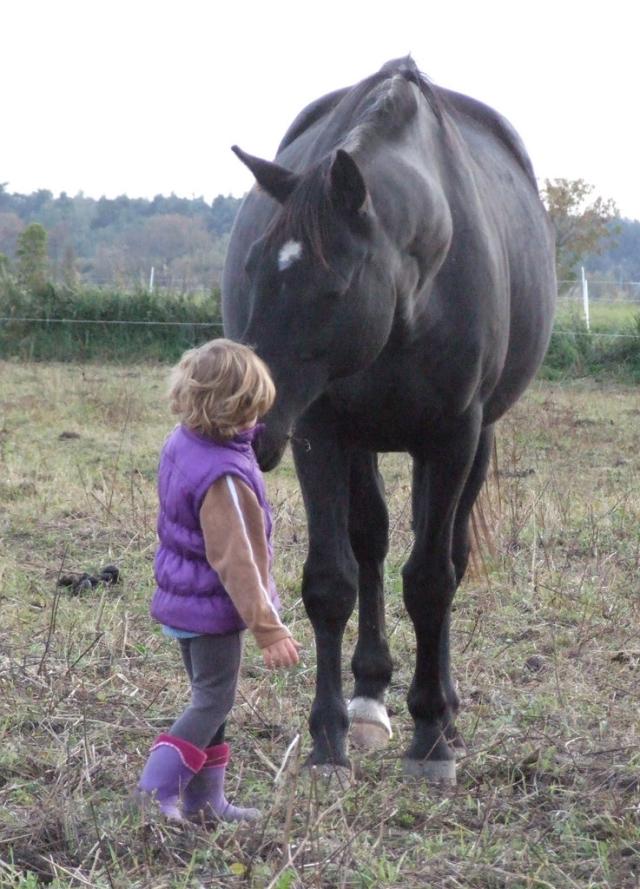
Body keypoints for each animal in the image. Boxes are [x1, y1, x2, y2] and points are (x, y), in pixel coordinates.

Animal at [221, 57, 556, 784]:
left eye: (332, 286)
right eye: (254, 265)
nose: (249, 422)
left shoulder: (452, 436)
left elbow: (431, 579)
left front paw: (431, 736)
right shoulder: (319, 432)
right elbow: (331, 580)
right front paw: (329, 738)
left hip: (470, 442)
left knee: (449, 553)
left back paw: (444, 711)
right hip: (362, 440)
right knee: (370, 541)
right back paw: (370, 697)